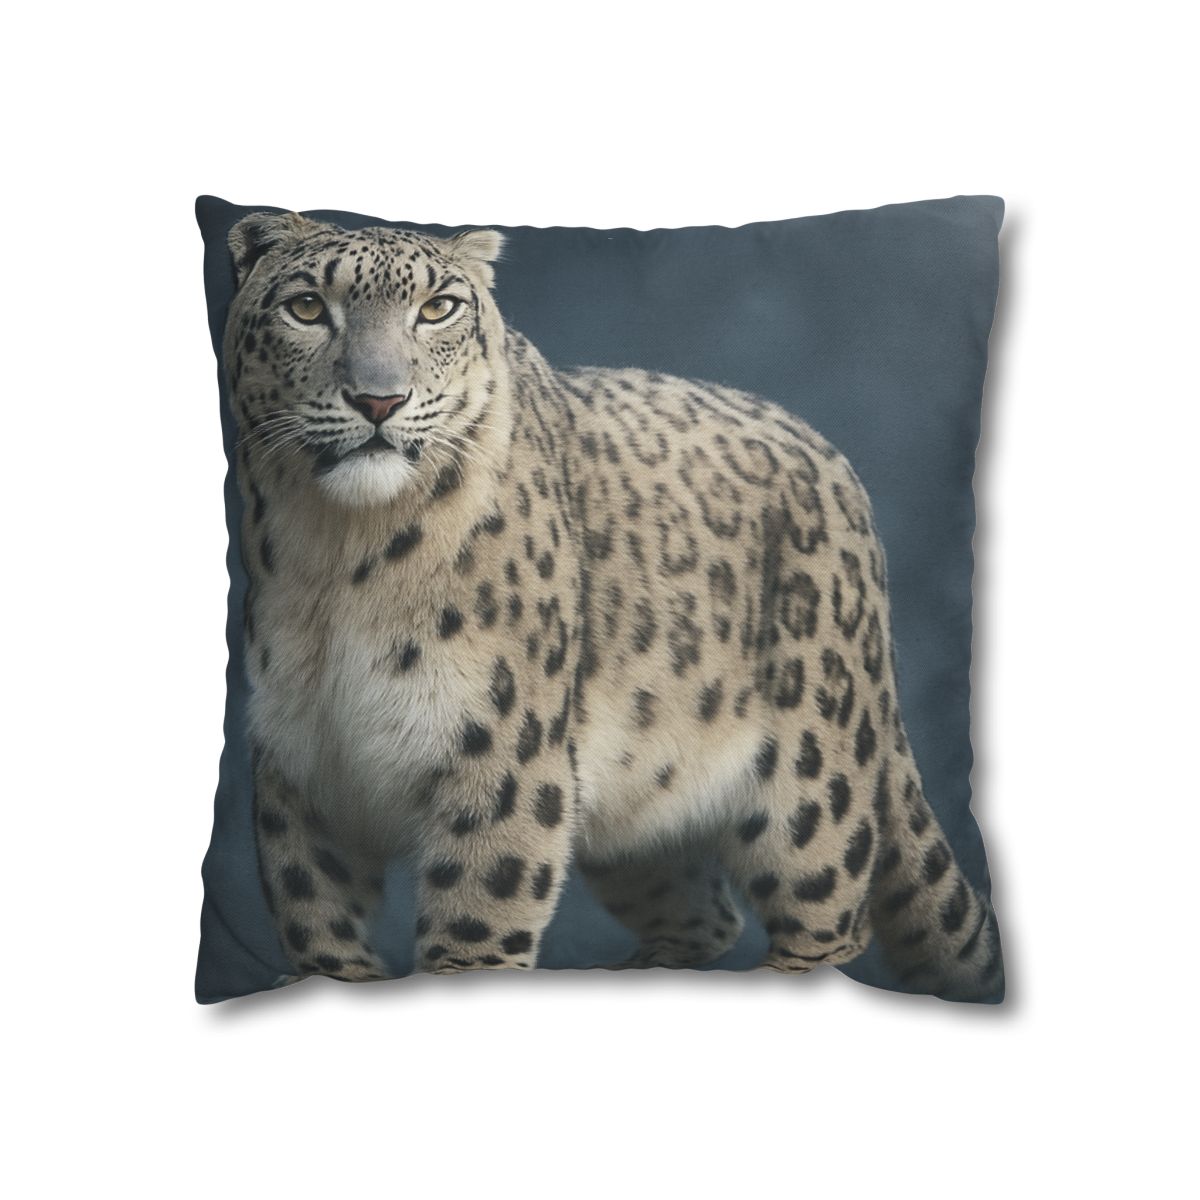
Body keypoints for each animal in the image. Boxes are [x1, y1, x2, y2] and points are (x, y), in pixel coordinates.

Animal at [222, 211, 1003, 1002]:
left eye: (438, 308)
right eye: (307, 307)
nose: (380, 400)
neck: (337, 560)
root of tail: (839, 469)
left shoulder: (500, 755)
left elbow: (476, 926)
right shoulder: (300, 765)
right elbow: (318, 926)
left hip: (812, 788)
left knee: (828, 922)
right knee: (703, 910)